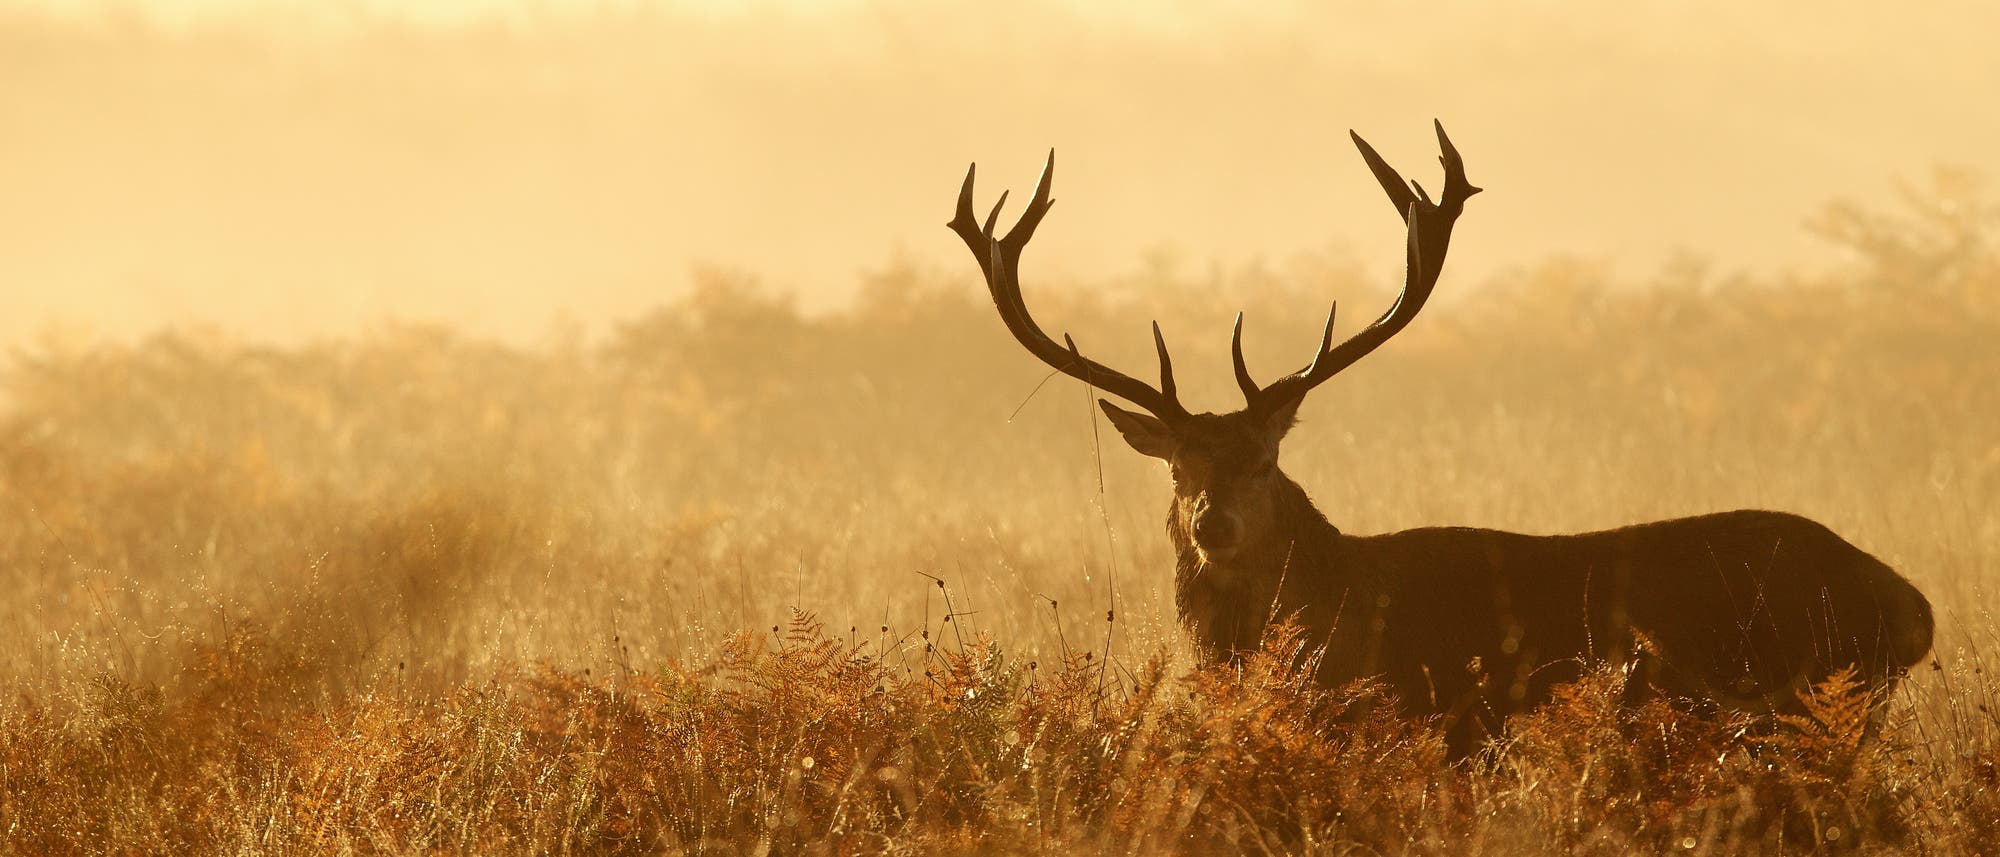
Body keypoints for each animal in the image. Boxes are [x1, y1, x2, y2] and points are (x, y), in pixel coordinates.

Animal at [947, 121, 1935, 756]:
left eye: (1265, 461)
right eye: (1178, 467)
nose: (1211, 524)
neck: (1340, 616)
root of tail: (1915, 607)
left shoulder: (1441, 721)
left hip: (1808, 702)